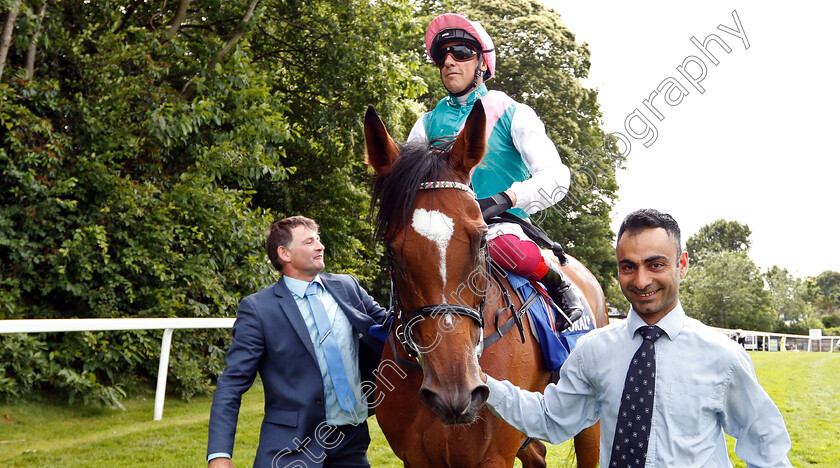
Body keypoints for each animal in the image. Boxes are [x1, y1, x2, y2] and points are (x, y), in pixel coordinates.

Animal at [364, 100, 608, 466]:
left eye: (481, 240)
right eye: (392, 250)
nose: (455, 390)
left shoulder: (494, 456)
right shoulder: (415, 458)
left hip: (589, 425)